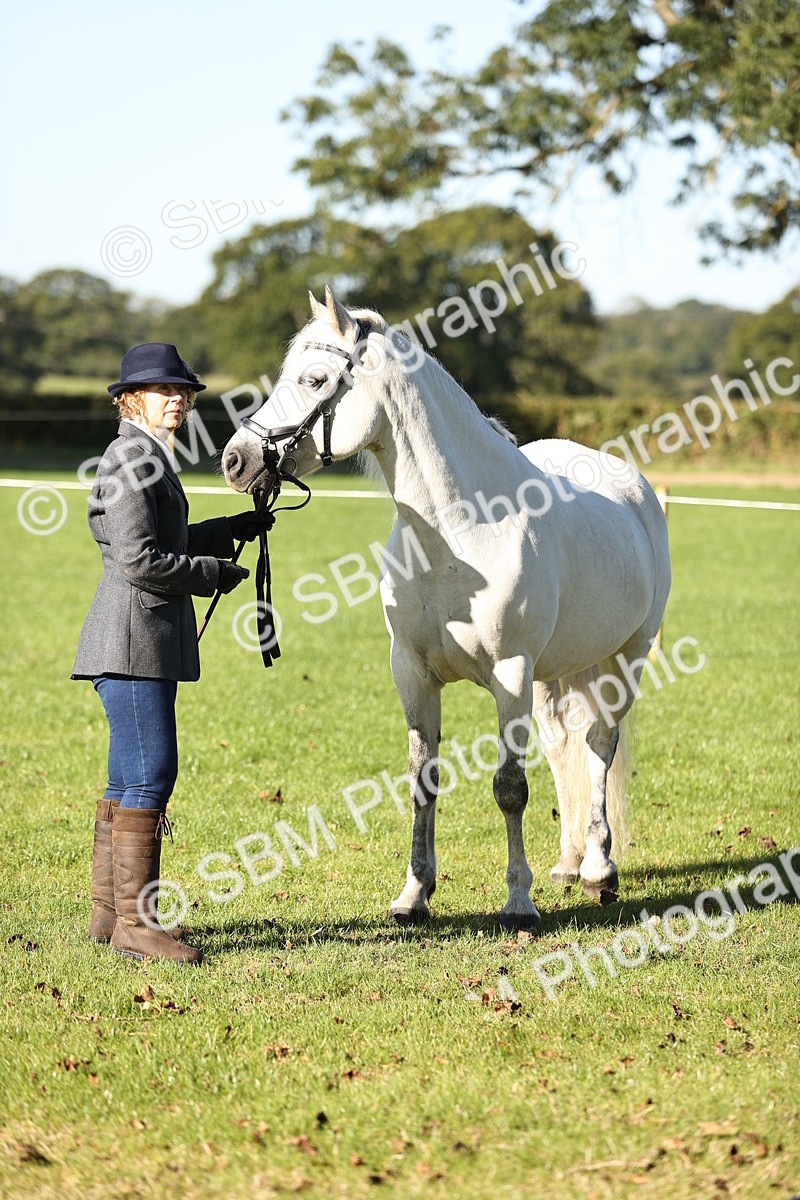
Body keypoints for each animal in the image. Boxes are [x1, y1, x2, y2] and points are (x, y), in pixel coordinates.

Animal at [221, 287, 671, 930]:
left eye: (315, 380)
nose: (235, 461)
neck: (460, 533)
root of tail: (636, 490)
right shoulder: (412, 672)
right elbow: (421, 782)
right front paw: (414, 895)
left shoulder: (510, 672)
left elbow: (510, 787)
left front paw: (517, 902)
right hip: (554, 674)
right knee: (564, 747)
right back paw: (567, 863)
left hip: (623, 659)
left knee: (599, 746)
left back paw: (597, 869)